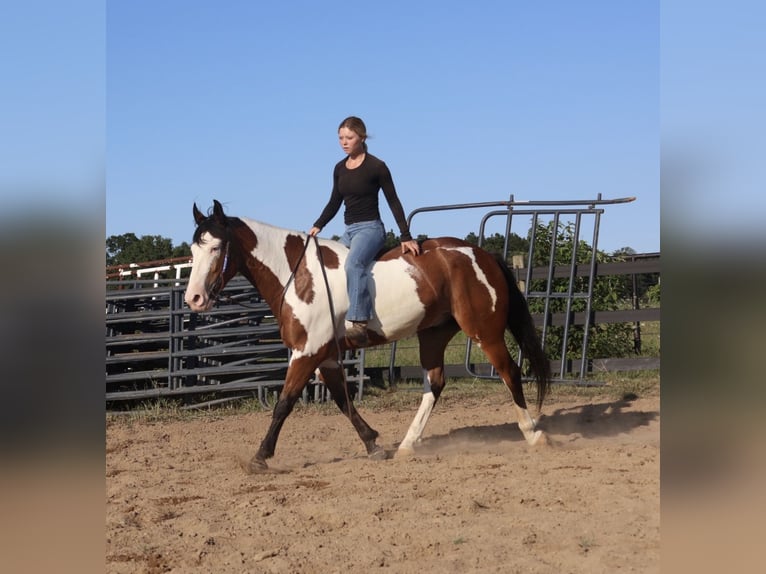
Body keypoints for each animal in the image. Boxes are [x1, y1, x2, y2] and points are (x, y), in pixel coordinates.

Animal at [184, 200, 551, 472]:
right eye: (193, 250)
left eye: (217, 247)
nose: (194, 299)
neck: (299, 275)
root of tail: (482, 255)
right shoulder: (326, 357)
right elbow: (342, 401)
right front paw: (373, 443)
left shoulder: (307, 352)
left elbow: (284, 403)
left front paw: (260, 457)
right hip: (433, 335)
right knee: (435, 383)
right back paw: (407, 445)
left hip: (484, 332)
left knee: (509, 372)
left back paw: (534, 434)